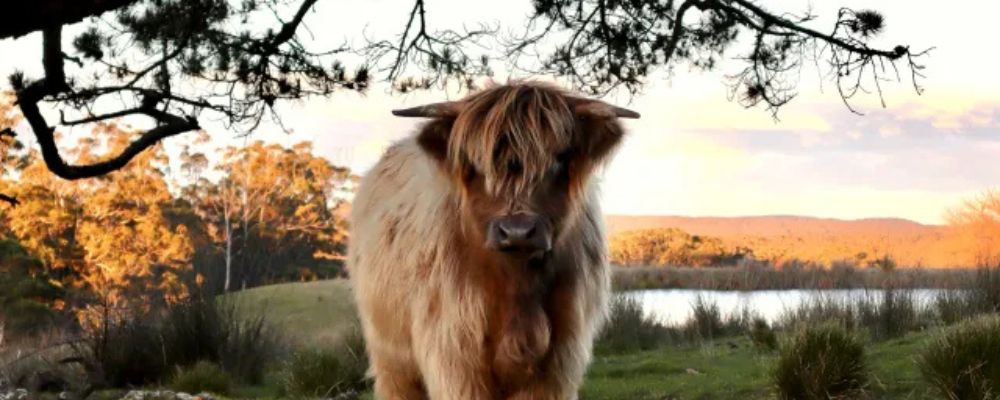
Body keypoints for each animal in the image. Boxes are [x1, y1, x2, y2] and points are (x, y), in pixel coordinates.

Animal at [348, 81, 639, 399]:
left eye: (559, 160)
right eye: (475, 164)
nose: (517, 231)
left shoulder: (558, 365)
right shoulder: (454, 359)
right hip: (392, 359)